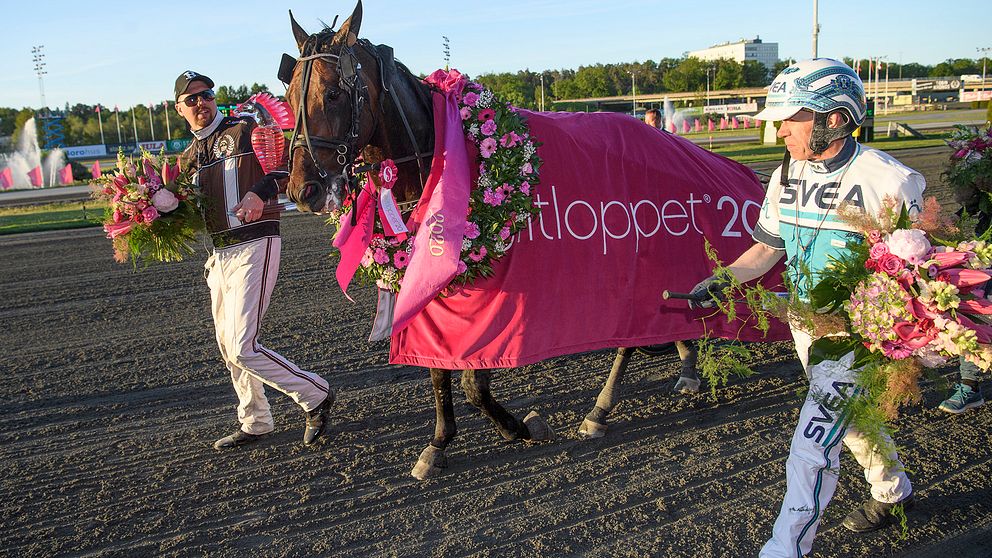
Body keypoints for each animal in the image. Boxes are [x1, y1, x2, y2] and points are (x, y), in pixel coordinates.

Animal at [282, 0, 772, 482]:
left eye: (334, 92)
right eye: (287, 99)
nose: (303, 190)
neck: (444, 154)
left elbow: (473, 381)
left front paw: (519, 426)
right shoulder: (429, 281)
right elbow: (438, 370)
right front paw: (438, 443)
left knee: (629, 334)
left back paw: (600, 410)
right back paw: (685, 364)